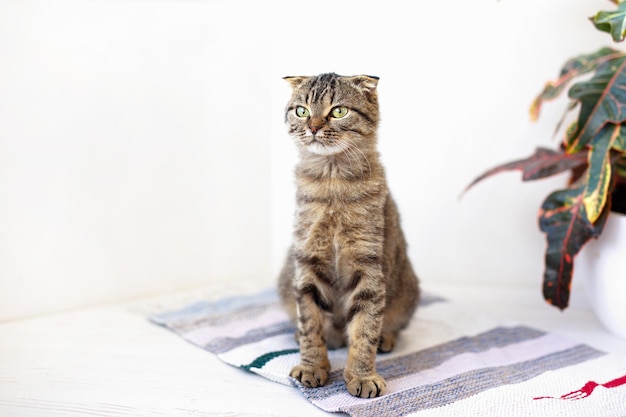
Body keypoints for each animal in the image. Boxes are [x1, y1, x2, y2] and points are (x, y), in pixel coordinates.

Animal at [278, 74, 420, 396]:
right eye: (302, 111)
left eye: (338, 111)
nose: (313, 126)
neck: (332, 182)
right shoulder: (307, 262)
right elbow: (310, 322)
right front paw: (312, 366)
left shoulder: (368, 266)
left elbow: (365, 329)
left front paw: (362, 376)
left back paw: (385, 338)